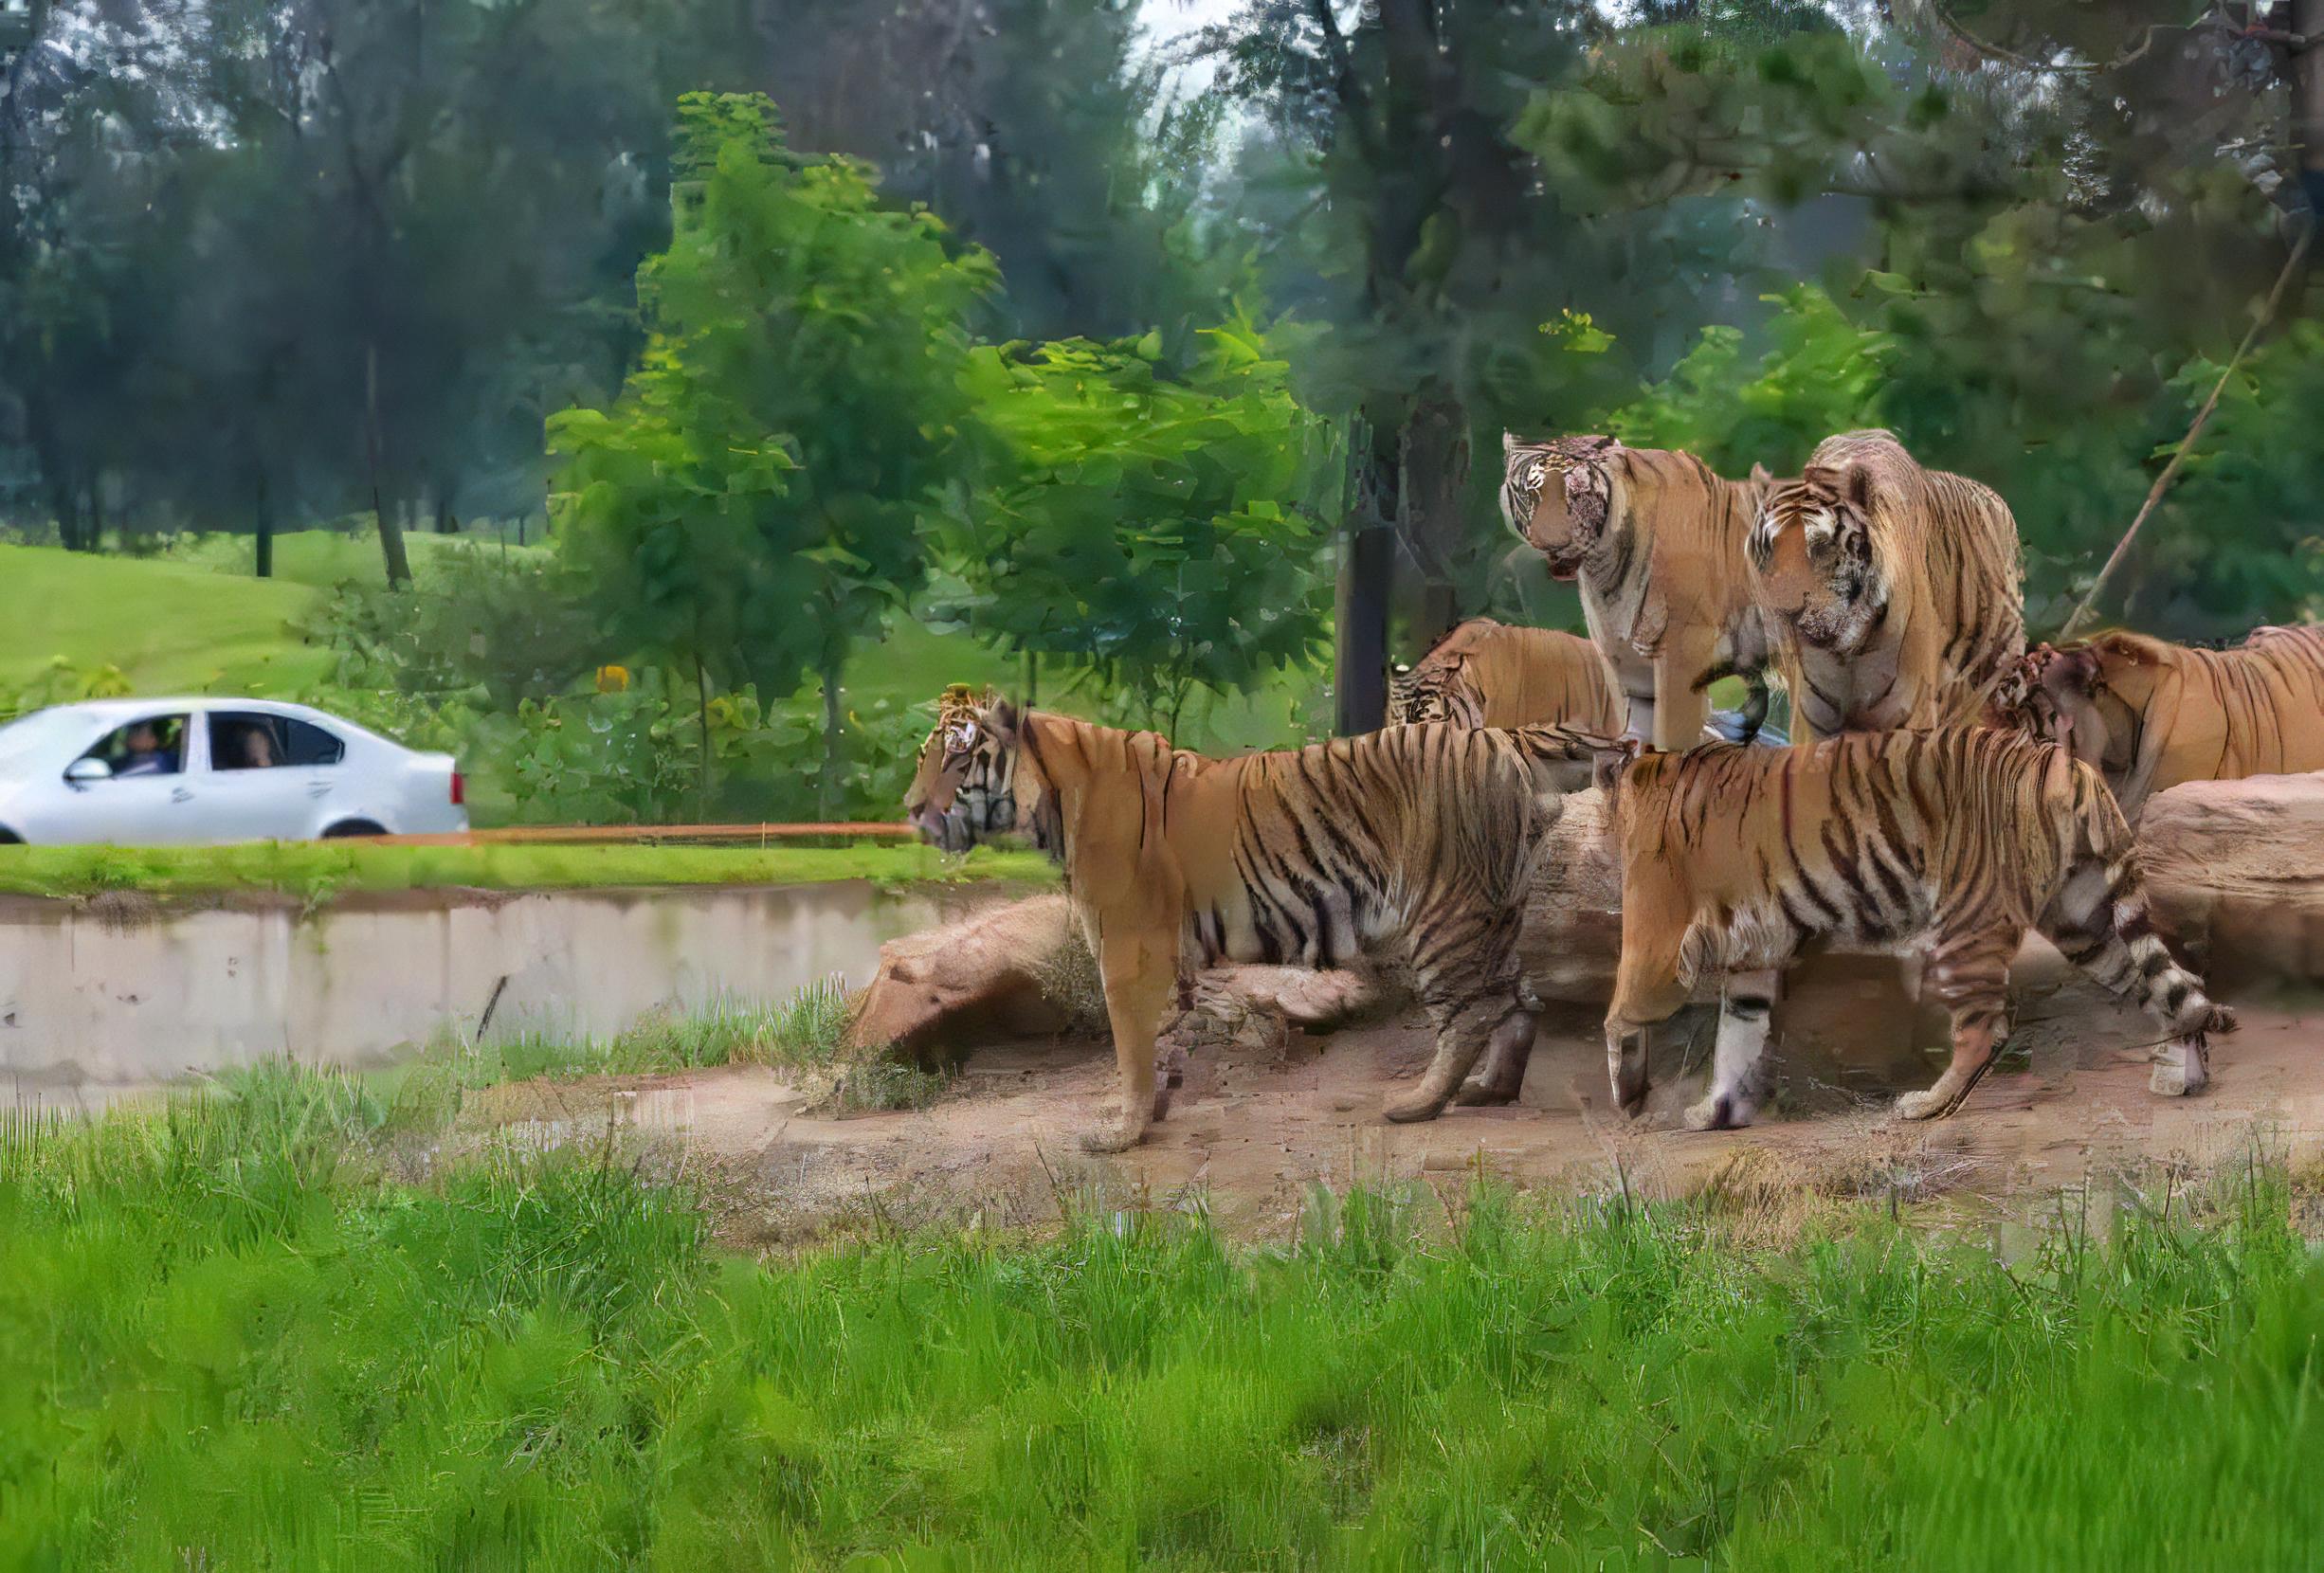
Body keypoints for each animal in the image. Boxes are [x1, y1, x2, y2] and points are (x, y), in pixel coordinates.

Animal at [903, 691, 1607, 1151]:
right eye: (922, 758)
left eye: (958, 762)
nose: (909, 809)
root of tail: (1500, 737)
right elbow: (1160, 1036)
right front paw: (1153, 1112)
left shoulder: (1126, 945)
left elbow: (1130, 1045)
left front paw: (1121, 1134)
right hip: (1496, 914)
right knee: (1521, 1000)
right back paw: (1490, 1090)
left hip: (1445, 911)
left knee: (1471, 1013)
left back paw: (1417, 1105)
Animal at [1500, 434, 1778, 751]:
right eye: (1531, 494)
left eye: (1577, 494)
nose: (1554, 544)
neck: (1604, 570)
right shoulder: (1628, 667)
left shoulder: (1684, 654)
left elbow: (1672, 740)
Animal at [1596, 727, 2235, 1131]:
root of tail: (2066, 762)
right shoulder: (1753, 958)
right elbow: (1738, 1036)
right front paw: (1717, 1114)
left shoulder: (1656, 939)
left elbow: (1621, 1012)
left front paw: (1629, 1097)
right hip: (2087, 919)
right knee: (2172, 988)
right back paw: (2183, 1079)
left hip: (1965, 922)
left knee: (1986, 1028)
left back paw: (1927, 1106)